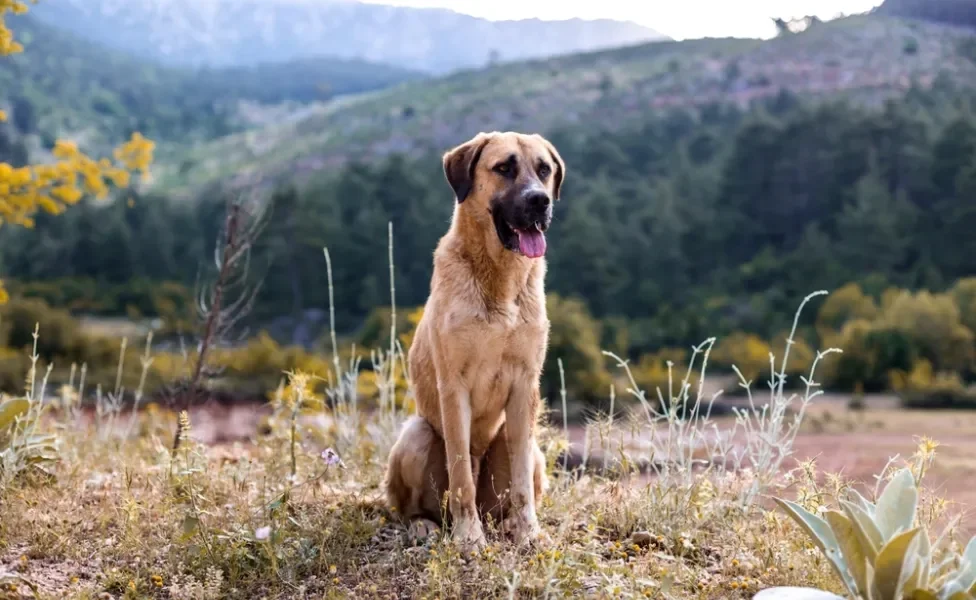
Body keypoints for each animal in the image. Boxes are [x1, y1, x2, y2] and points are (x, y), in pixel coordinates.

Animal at [384, 131, 564, 552]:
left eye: (544, 170)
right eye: (504, 168)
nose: (540, 201)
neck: (500, 278)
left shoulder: (525, 386)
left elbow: (521, 484)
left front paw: (528, 532)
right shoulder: (454, 387)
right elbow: (461, 474)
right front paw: (468, 538)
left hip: (531, 452)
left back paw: (507, 524)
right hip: (417, 435)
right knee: (413, 507)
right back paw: (425, 525)